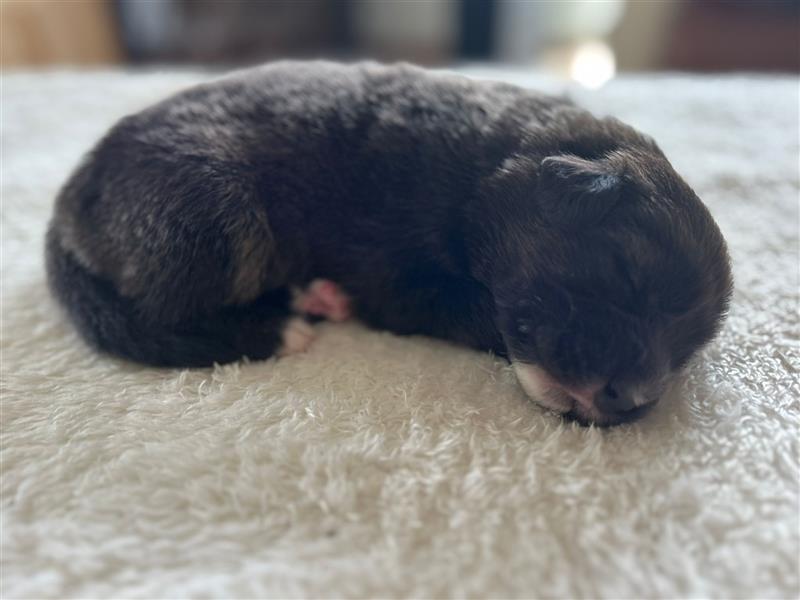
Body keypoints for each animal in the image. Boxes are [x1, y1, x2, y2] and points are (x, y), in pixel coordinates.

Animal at [43, 62, 732, 426]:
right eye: (626, 274)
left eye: (686, 349)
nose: (631, 404)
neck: (495, 162)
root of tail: (69, 201)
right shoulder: (395, 278)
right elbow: (468, 310)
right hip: (217, 213)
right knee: (161, 313)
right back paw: (283, 323)